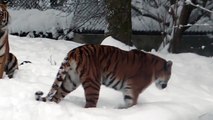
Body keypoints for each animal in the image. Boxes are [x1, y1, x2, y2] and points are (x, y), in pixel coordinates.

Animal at [35, 44, 172, 108]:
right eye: (170, 76)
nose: (166, 86)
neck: (155, 69)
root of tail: (75, 51)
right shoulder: (133, 89)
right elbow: (131, 103)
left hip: (70, 81)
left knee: (56, 95)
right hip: (93, 83)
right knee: (89, 104)